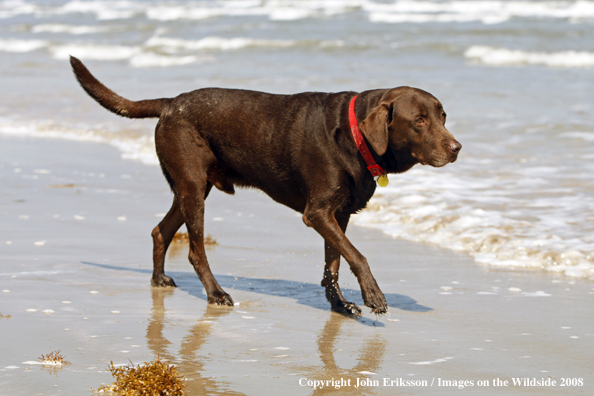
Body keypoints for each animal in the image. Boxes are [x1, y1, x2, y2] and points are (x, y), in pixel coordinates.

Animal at [69, 55, 458, 316]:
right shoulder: (318, 213)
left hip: (190, 188)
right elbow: (356, 255)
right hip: (193, 188)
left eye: (442, 116)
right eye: (419, 120)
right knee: (195, 250)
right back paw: (215, 293)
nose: (457, 148)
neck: (353, 136)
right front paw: (373, 295)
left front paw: (340, 304)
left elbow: (334, 262)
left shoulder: (338, 214)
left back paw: (159, 279)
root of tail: (170, 103)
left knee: (160, 231)